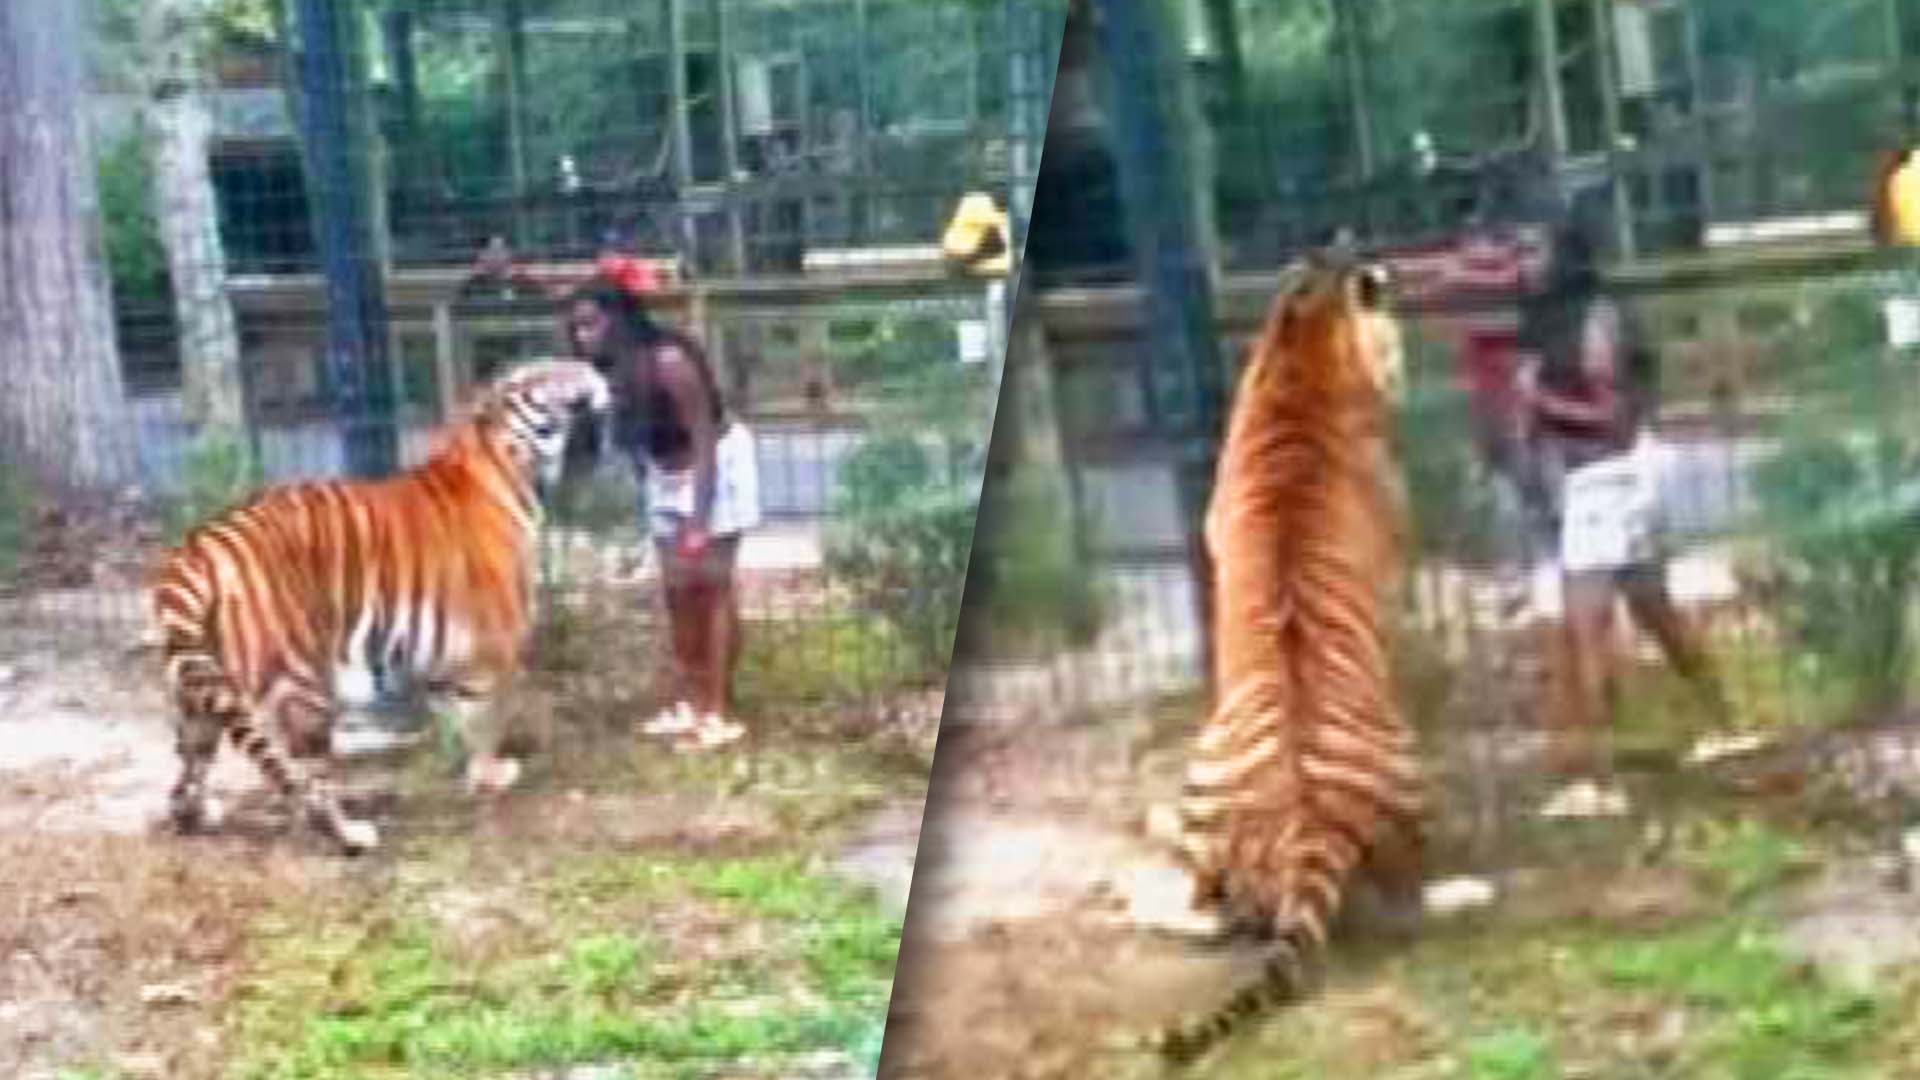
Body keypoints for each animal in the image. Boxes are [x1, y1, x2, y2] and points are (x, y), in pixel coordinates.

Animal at [145, 357, 610, 853]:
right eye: (546, 373)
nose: (594, 370)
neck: (508, 458)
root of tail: (195, 553)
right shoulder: (492, 649)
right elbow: (486, 720)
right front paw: (492, 775)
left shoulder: (444, 658)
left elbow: (457, 717)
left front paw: (466, 771)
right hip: (299, 684)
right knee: (310, 780)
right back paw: (349, 833)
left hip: (196, 692)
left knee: (188, 767)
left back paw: (195, 817)